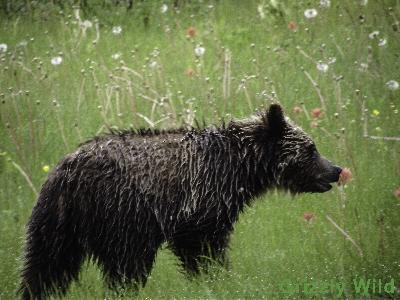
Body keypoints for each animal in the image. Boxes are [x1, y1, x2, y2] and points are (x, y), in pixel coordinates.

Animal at [19, 104, 340, 298]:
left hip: (56, 220)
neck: (240, 168)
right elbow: (203, 247)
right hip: (121, 215)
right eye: (311, 149)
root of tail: (69, 173)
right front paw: (218, 278)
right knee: (125, 267)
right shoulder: (202, 200)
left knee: (45, 265)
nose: (336, 170)